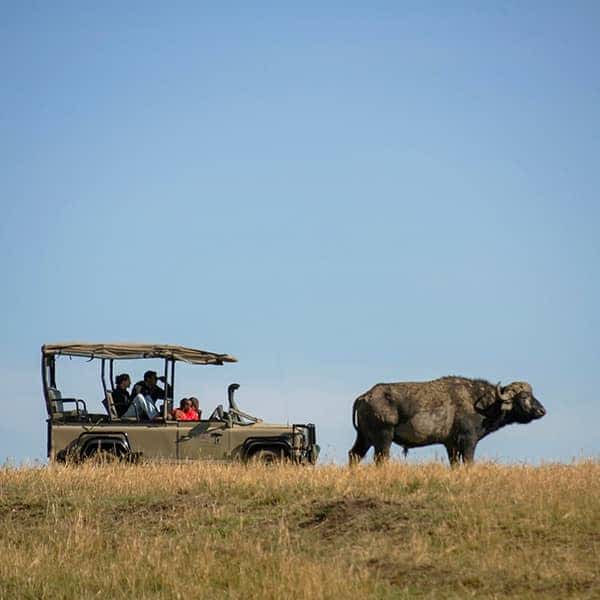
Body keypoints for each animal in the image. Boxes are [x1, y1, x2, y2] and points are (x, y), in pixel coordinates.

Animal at [350, 378, 548, 466]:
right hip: (383, 437)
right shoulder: (468, 441)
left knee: (354, 455)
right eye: (524, 396)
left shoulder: (451, 445)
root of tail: (365, 397)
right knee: (380, 458)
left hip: (365, 438)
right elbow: (468, 461)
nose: (542, 411)